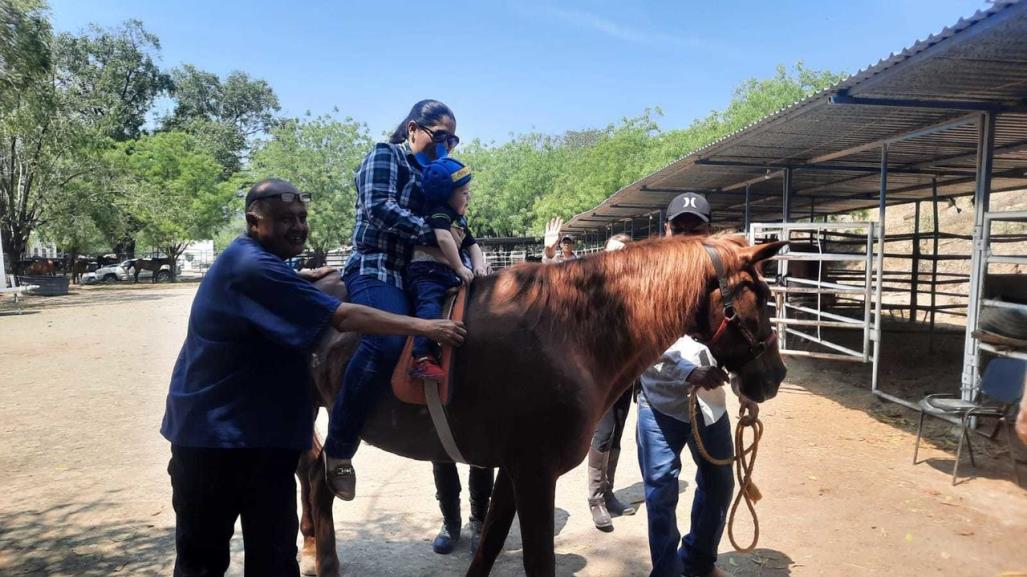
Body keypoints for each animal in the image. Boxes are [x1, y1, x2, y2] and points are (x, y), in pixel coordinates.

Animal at [297, 234, 784, 574]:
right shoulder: (534, 473)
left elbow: (489, 546)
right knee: (318, 477)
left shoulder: (514, 471)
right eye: (762, 297)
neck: (566, 332)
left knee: (314, 476)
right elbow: (535, 561)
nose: (775, 375)